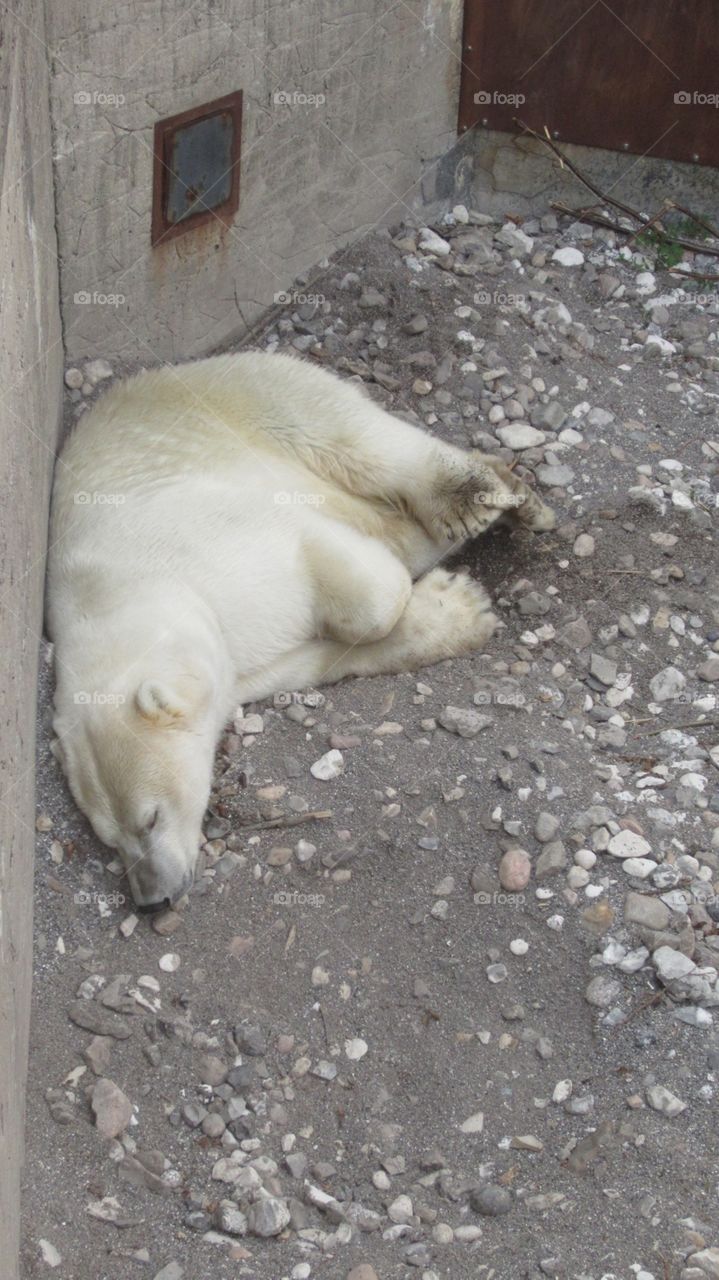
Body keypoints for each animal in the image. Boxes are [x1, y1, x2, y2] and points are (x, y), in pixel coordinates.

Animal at [47, 351, 554, 908]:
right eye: (109, 840)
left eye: (151, 818)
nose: (152, 898)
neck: (114, 595)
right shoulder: (234, 662)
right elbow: (307, 659)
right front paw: (453, 607)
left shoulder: (214, 540)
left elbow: (346, 578)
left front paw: (431, 589)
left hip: (259, 398)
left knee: (365, 445)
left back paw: (482, 498)